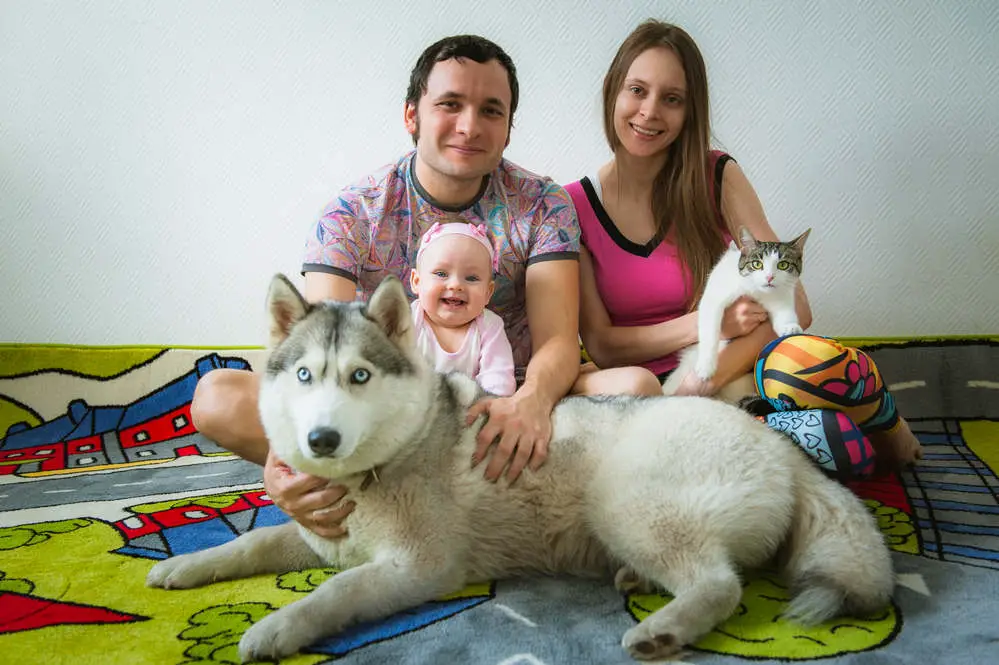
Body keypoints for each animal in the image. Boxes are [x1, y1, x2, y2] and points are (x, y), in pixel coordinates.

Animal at [148, 274, 900, 660]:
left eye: (359, 375)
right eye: (305, 375)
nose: (321, 439)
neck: (384, 465)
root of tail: (781, 446)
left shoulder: (416, 568)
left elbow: (331, 592)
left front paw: (276, 628)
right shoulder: (316, 536)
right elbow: (249, 544)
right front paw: (186, 567)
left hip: (626, 500)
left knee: (722, 585)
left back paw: (663, 627)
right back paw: (639, 582)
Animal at [664, 226, 812, 402]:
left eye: (783, 265)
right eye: (757, 264)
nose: (769, 277)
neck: (756, 291)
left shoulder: (781, 297)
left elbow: (785, 314)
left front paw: (790, 327)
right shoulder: (715, 296)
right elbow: (710, 329)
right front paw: (706, 366)